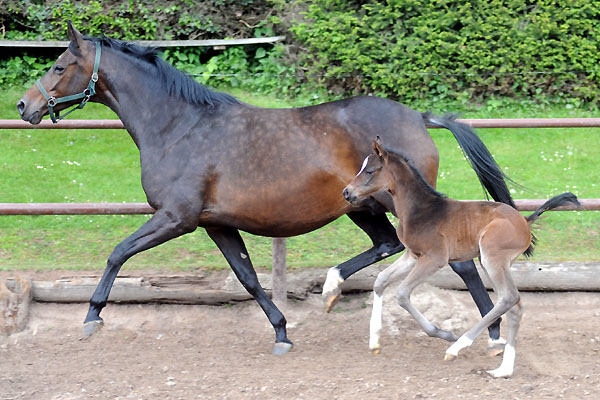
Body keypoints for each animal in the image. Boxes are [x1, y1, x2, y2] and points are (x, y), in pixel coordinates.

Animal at [342, 139, 580, 376]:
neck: (421, 210)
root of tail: (524, 220)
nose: (346, 192)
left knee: (507, 298)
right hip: (491, 262)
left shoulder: (434, 258)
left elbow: (401, 293)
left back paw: (457, 347)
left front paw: (444, 334)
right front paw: (374, 339)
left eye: (370, 171)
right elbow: (380, 280)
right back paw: (504, 369)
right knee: (515, 305)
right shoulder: (412, 255)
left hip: (492, 260)